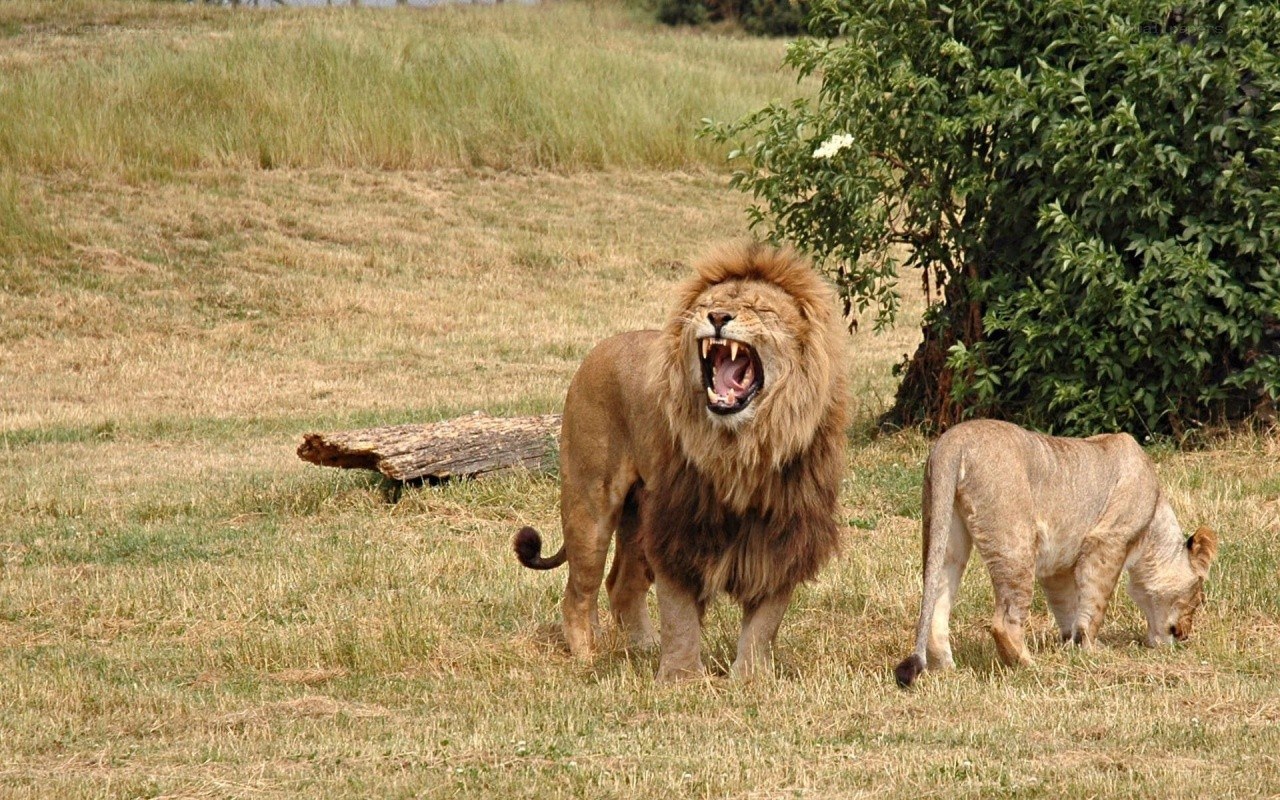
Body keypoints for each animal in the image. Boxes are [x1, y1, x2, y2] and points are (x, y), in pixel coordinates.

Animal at [514, 242, 849, 681]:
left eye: (759, 308)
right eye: (708, 304)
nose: (718, 318)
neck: (742, 449)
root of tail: (602, 347)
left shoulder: (784, 533)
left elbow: (764, 622)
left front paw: (751, 680)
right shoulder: (678, 526)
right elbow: (680, 616)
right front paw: (680, 679)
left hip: (638, 514)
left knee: (621, 585)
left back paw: (642, 647)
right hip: (589, 503)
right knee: (579, 592)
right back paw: (588, 657)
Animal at [894, 419, 1218, 688]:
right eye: (1198, 597)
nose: (1185, 634)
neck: (1154, 524)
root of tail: (953, 441)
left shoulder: (1058, 564)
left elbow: (1068, 606)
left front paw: (1071, 645)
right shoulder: (1108, 541)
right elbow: (1094, 603)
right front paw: (1090, 650)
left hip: (945, 531)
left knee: (937, 600)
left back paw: (949, 670)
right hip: (1017, 541)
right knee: (1004, 622)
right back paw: (1029, 666)